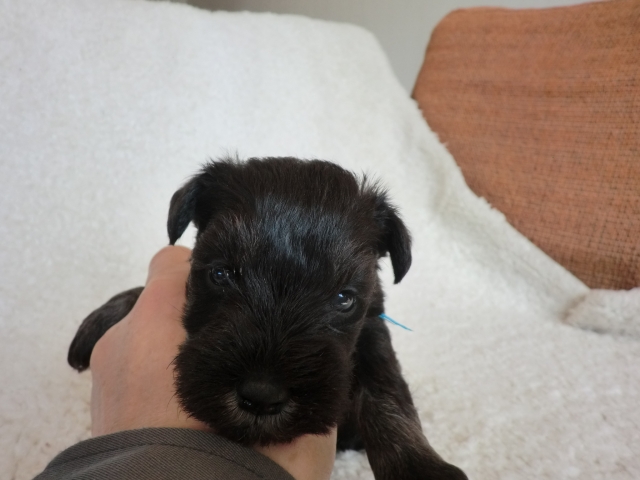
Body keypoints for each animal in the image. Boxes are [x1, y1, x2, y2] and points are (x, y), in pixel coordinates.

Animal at [68, 157, 467, 480]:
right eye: (221, 274)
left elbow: (386, 390)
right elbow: (139, 291)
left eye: (343, 298)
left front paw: (419, 466)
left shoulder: (373, 327)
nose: (261, 396)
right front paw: (100, 320)